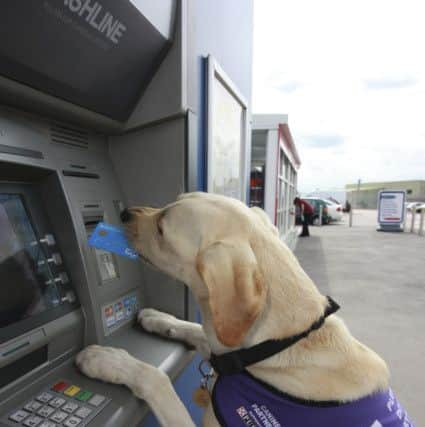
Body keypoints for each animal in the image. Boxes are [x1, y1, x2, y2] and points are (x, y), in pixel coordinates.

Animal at [75, 193, 390, 427]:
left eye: (162, 228)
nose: (125, 212)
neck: (279, 342)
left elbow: (157, 379)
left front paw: (108, 360)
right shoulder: (223, 346)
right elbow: (195, 328)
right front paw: (157, 318)